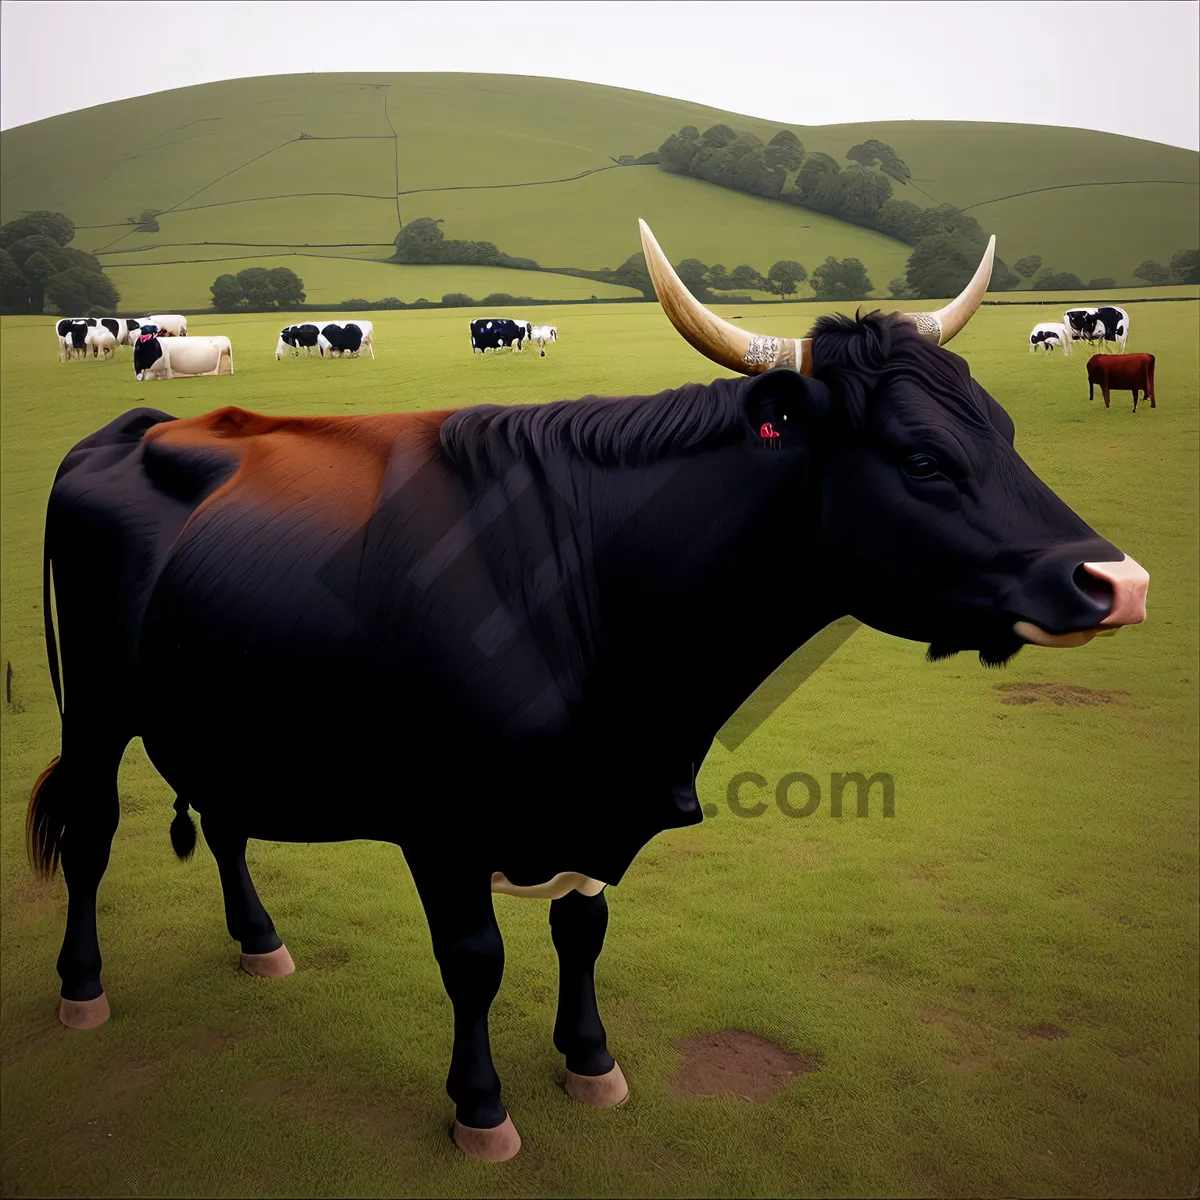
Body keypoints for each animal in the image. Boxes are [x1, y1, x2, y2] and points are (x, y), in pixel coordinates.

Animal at [28, 226, 1147, 1161]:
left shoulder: (594, 798)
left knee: (224, 818)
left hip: (221, 707)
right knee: (91, 831)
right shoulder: (443, 823)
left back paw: (260, 943)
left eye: (1004, 429)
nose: (1119, 581)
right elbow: (474, 959)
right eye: (921, 459)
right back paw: (80, 988)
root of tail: (131, 426)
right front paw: (481, 1109)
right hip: (96, 706)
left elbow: (583, 933)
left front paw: (591, 1061)